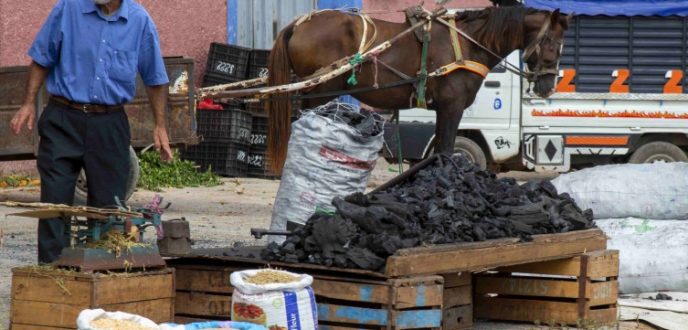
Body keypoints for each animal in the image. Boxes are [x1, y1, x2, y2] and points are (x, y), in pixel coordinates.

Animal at [266, 5, 572, 174]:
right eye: (553, 44)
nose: (547, 87)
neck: (467, 43)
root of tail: (299, 24)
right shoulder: (452, 107)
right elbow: (446, 150)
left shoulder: (442, 110)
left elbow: (438, 151)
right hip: (322, 93)